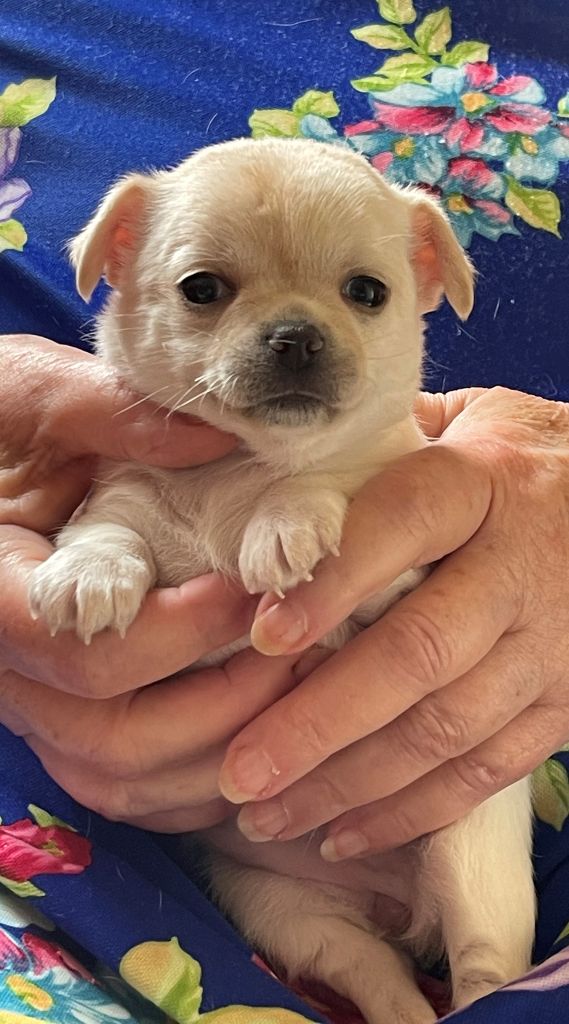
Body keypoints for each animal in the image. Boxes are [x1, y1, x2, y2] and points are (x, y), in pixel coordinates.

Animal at [29, 138, 535, 1023]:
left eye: (367, 293)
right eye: (202, 290)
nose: (295, 335)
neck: (244, 467)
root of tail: (398, 906)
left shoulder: (401, 564)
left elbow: (331, 487)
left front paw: (289, 518)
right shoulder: (126, 491)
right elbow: (110, 526)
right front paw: (88, 573)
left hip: (472, 860)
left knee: (481, 971)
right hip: (289, 912)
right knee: (381, 979)